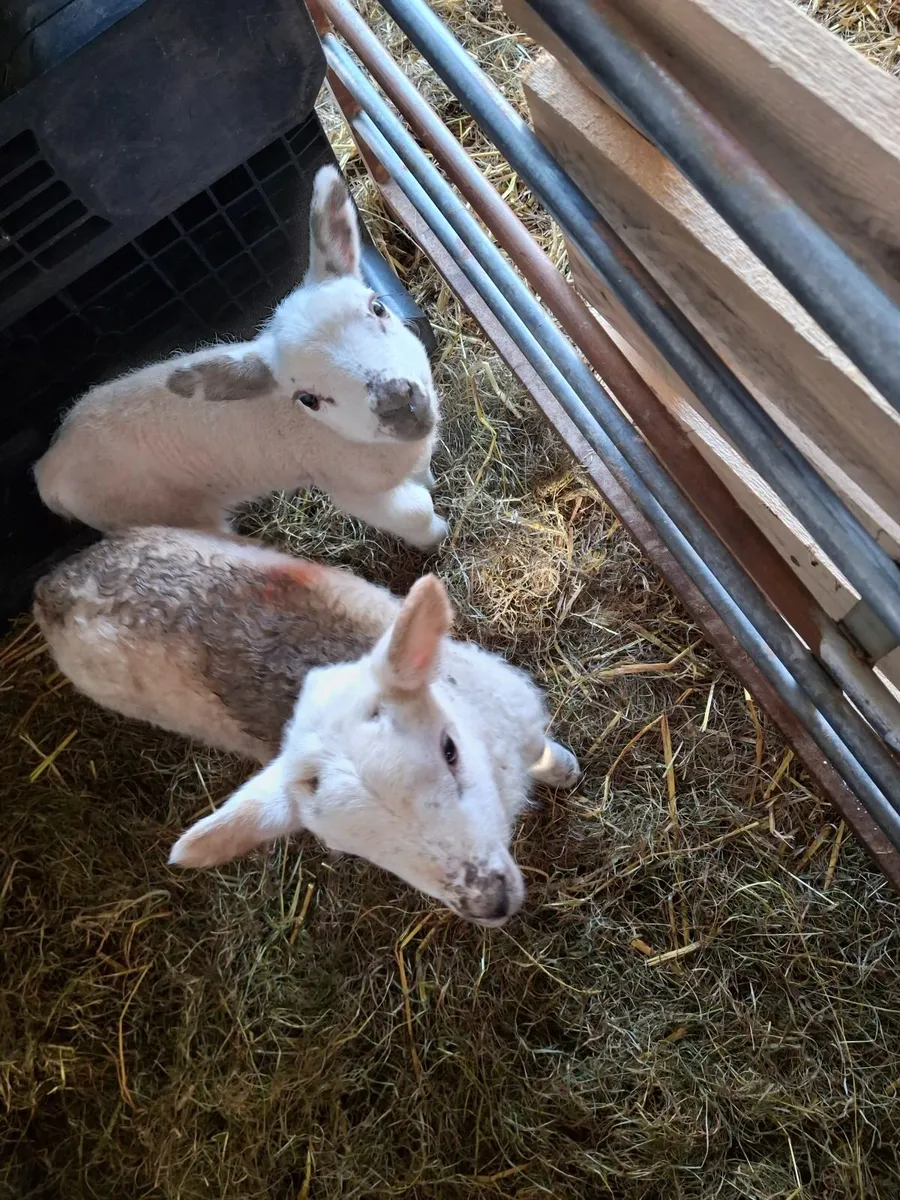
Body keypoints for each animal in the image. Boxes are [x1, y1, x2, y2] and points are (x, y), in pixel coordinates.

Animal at [33, 165, 447, 549]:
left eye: (378, 308)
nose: (397, 402)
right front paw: (437, 534)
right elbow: (415, 511)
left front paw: (430, 481)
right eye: (308, 399)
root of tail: (50, 465)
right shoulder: (348, 485)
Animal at [33, 526, 581, 925]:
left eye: (450, 750)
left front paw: (566, 770)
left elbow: (544, 753)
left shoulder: (518, 719)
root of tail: (54, 585)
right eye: (349, 848)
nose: (491, 903)